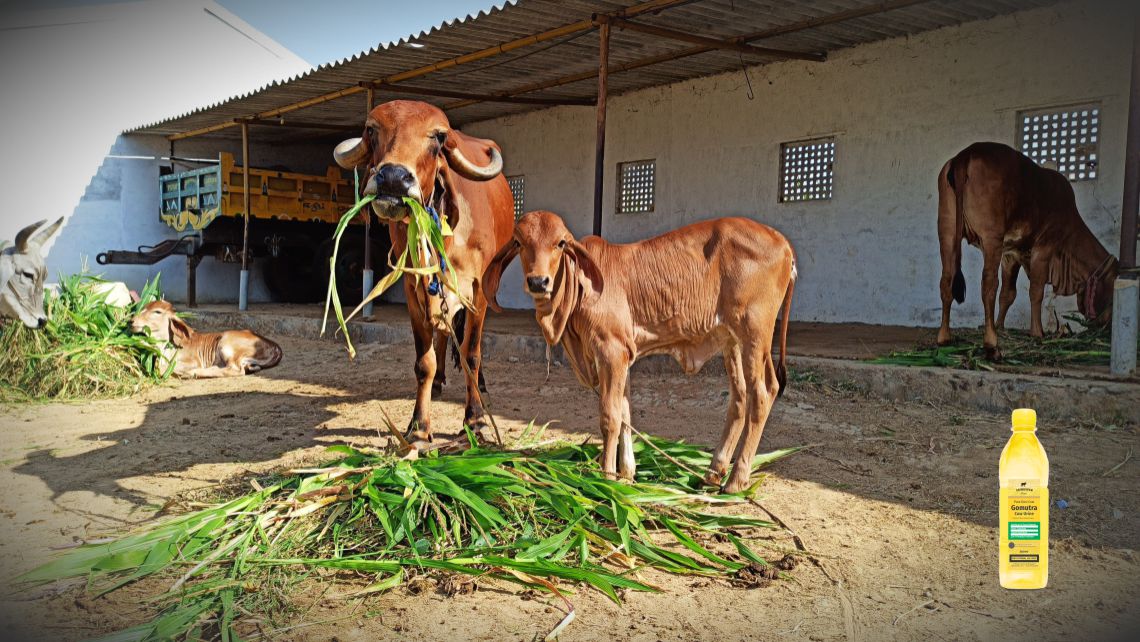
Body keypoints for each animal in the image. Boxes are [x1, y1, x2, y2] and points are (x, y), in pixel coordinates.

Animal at [128, 301, 279, 378]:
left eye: (157, 312)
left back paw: (194, 373)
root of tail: (275, 346)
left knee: (235, 370)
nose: (131, 321)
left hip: (226, 345)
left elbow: (162, 368)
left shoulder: (194, 361)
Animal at [332, 100, 515, 444]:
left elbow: (472, 353)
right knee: (443, 333)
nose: (393, 178)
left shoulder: (479, 292)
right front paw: (419, 426)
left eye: (438, 138)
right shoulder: (413, 289)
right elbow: (423, 362)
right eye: (371, 130)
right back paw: (441, 380)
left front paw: (476, 419)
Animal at [485, 210, 798, 492]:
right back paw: (713, 473)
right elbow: (625, 413)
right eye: (518, 242)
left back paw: (735, 481)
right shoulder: (622, 355)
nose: (538, 282)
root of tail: (782, 242)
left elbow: (610, 416)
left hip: (754, 333)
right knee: (739, 398)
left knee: (763, 393)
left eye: (560, 243)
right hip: (731, 340)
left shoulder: (611, 351)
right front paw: (627, 474)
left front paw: (606, 475)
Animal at [939, 141, 1117, 360]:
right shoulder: (1044, 247)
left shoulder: (1011, 254)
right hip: (991, 238)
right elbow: (1036, 291)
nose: (1108, 326)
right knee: (988, 284)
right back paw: (991, 344)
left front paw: (1000, 325)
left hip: (947, 232)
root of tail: (966, 153)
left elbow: (1008, 294)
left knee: (947, 280)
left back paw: (944, 337)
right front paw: (1037, 332)